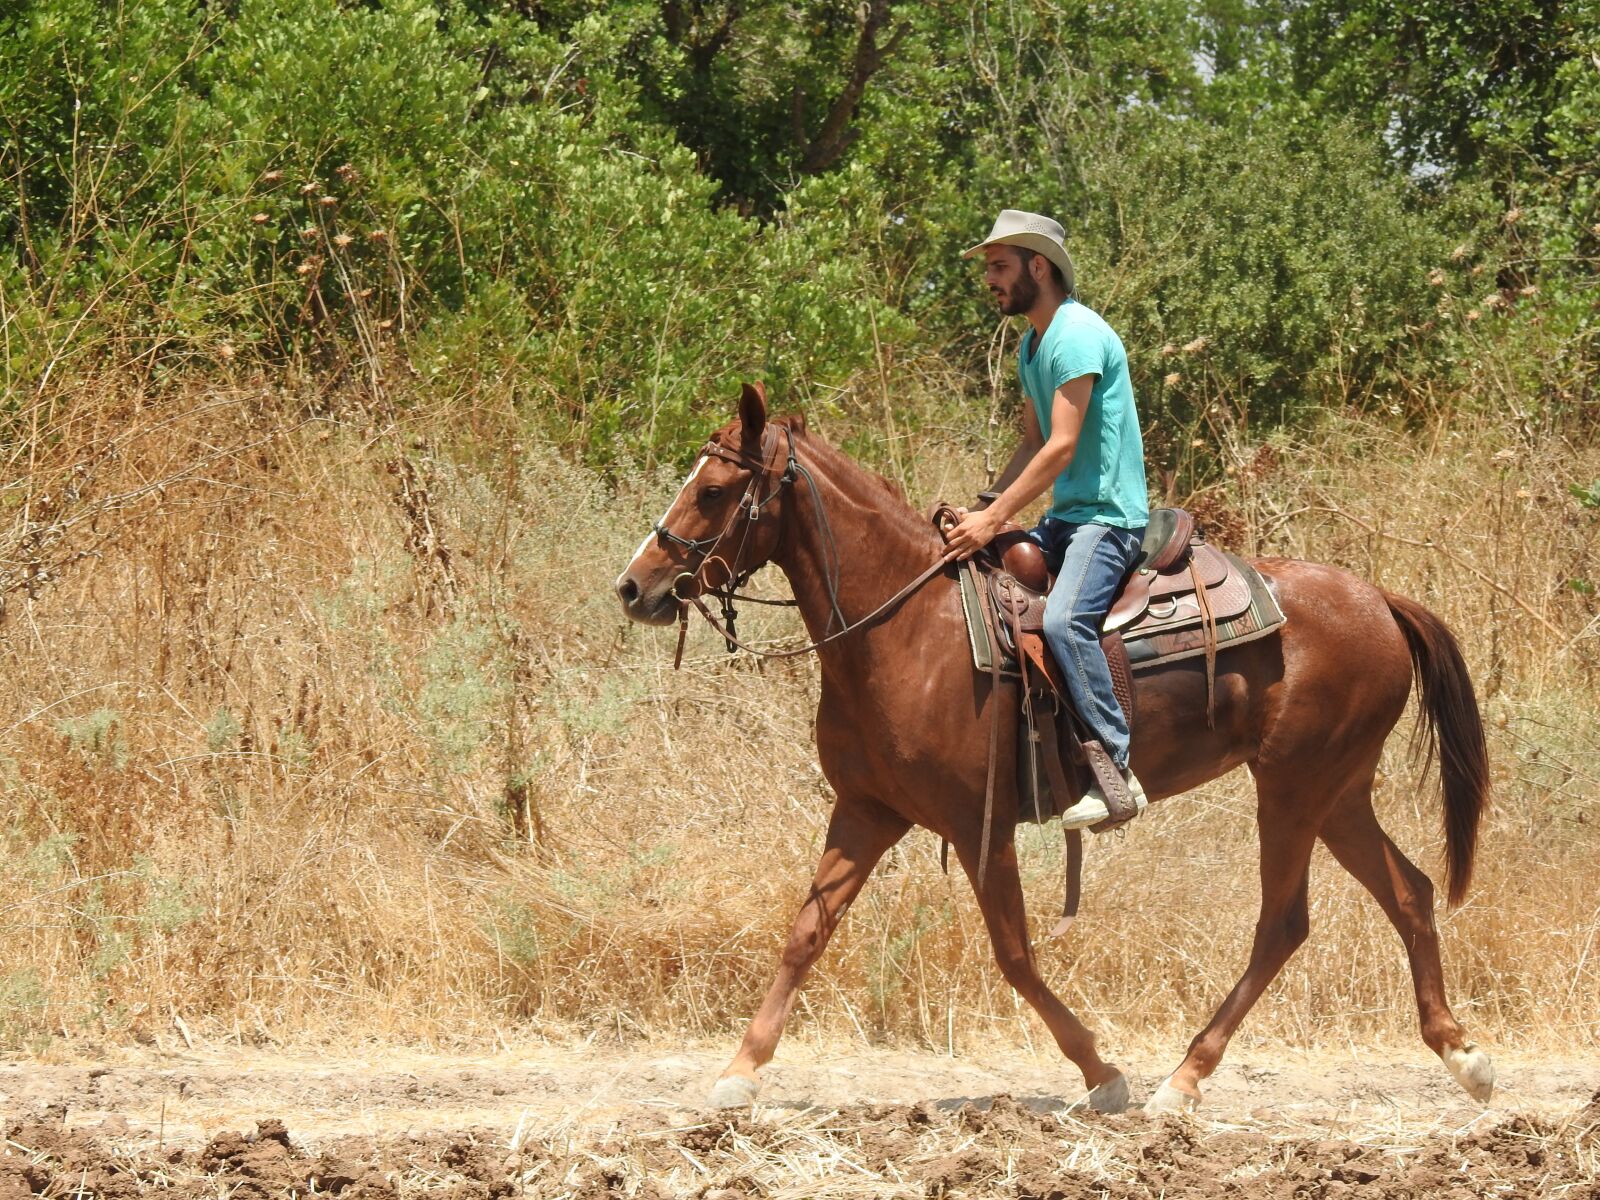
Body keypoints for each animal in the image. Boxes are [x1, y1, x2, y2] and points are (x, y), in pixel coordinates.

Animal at [614, 382, 1493, 1115]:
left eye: (714, 491)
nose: (634, 586)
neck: (901, 628)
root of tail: (1380, 600)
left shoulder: (979, 825)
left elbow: (1013, 954)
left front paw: (1103, 1074)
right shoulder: (866, 812)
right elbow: (805, 933)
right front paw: (739, 1071)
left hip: (1293, 787)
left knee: (1283, 923)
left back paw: (1185, 1078)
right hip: (1336, 791)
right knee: (1409, 892)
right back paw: (1462, 1056)